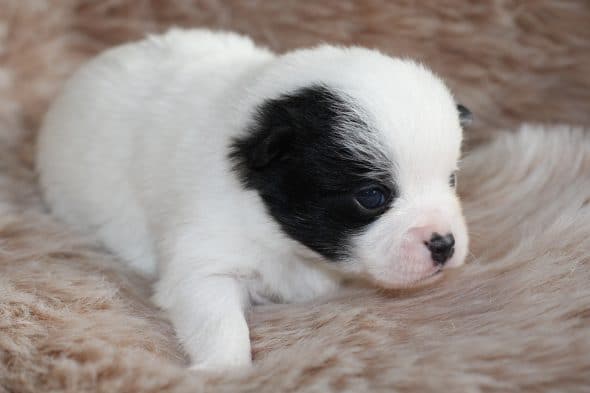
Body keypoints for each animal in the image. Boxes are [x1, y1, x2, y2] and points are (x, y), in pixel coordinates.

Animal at [35, 29, 472, 370]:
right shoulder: (204, 259)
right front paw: (224, 369)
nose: (444, 244)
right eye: (372, 196)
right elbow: (218, 319)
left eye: (451, 179)